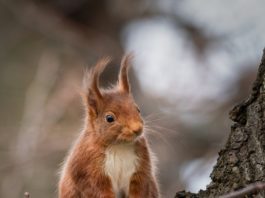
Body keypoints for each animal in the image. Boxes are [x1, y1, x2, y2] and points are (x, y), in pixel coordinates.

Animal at [58, 55, 159, 198]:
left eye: (138, 109)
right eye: (109, 118)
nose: (137, 129)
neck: (119, 146)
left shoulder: (141, 166)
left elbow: (140, 188)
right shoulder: (88, 169)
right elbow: (98, 190)